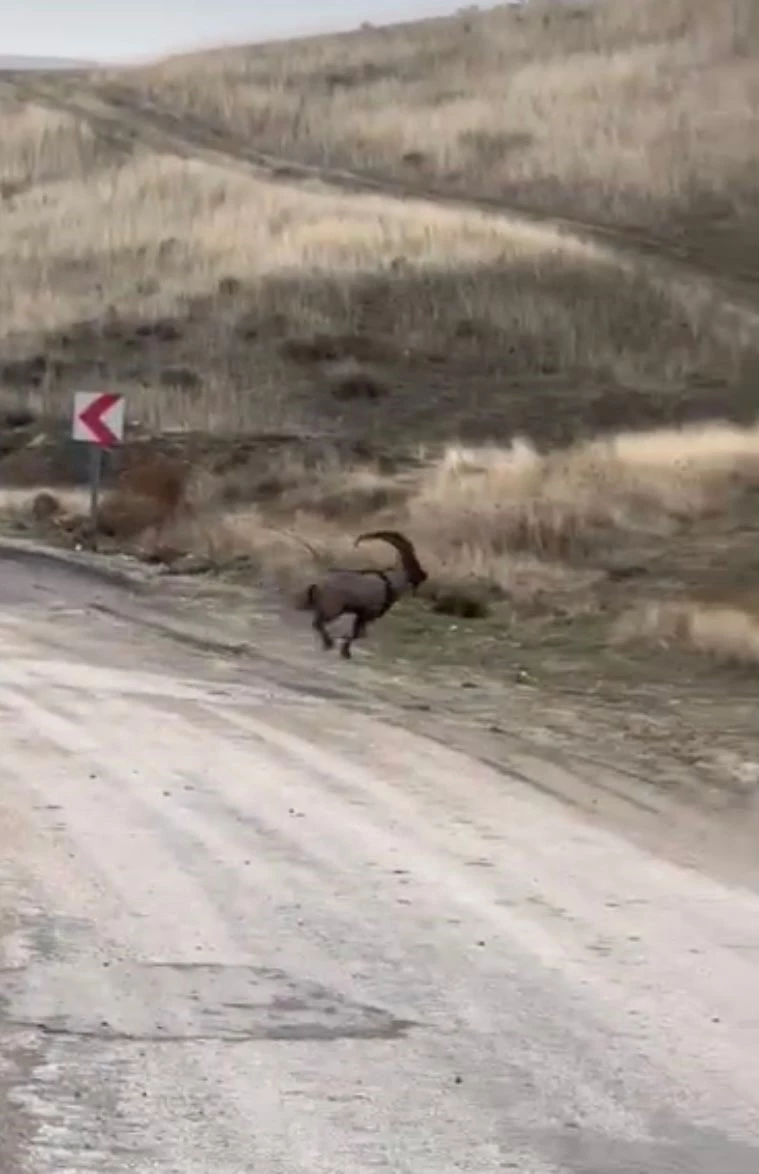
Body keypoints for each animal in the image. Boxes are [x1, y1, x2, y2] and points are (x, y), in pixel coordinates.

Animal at [295, 532, 427, 662]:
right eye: (414, 563)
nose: (424, 575)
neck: (390, 583)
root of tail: (317, 584)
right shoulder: (367, 613)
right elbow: (357, 634)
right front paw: (346, 653)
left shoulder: (360, 614)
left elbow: (359, 633)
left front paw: (345, 651)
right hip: (333, 609)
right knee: (317, 623)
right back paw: (329, 643)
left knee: (317, 623)